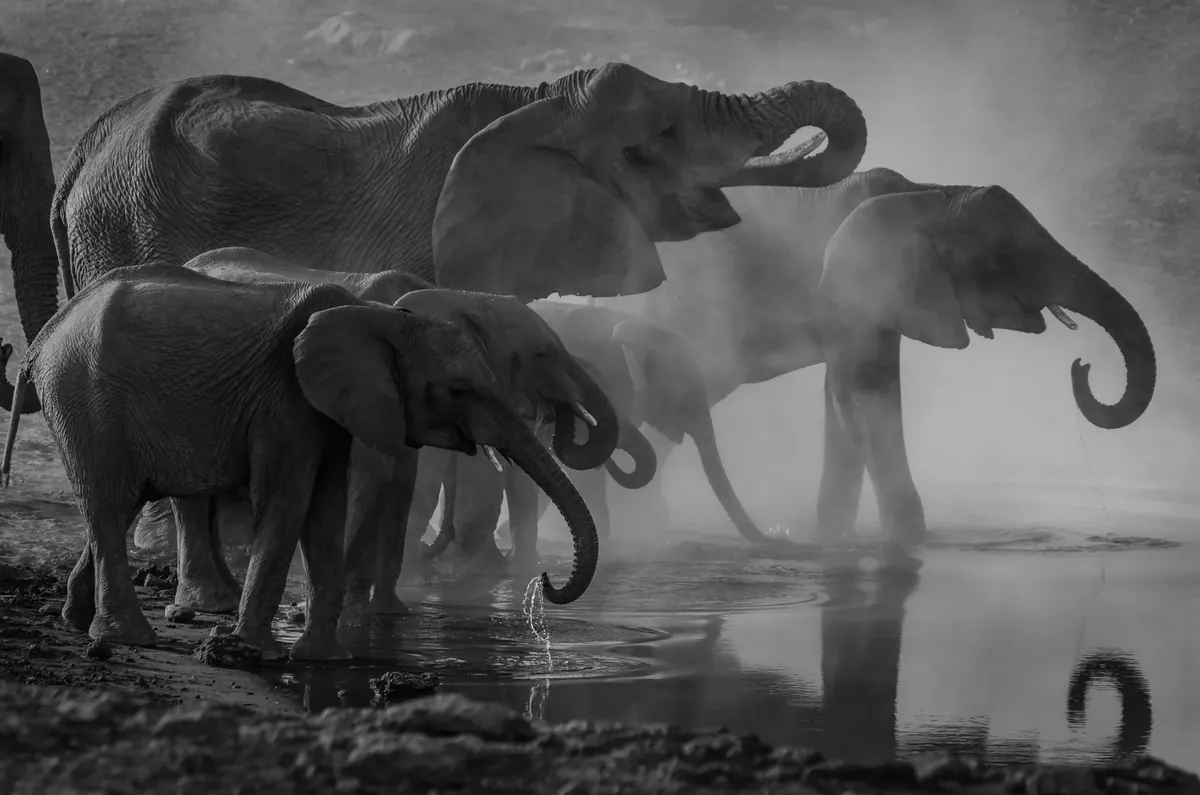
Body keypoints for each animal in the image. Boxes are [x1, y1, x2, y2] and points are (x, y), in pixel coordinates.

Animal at [15, 263, 599, 659]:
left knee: (120, 503)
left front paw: (320, 656)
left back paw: (78, 620)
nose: (545, 580)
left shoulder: (337, 406)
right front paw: (256, 653)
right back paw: (131, 637)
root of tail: (46, 334)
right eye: (459, 390)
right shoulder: (284, 397)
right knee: (110, 504)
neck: (384, 319)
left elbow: (326, 504)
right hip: (84, 400)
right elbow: (289, 498)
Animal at [603, 168, 1156, 550]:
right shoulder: (854, 282)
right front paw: (906, 543)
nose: (1081, 368)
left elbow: (848, 396)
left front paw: (836, 539)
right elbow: (863, 396)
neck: (930, 192)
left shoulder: (884, 296)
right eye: (1004, 257)